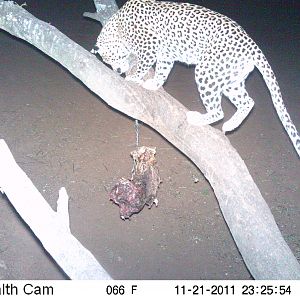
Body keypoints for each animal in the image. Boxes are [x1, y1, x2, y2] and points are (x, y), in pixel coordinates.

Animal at [91, 0, 300, 157]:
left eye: (111, 59)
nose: (117, 70)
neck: (118, 25)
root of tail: (252, 45)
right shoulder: (166, 55)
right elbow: (162, 71)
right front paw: (154, 83)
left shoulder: (149, 46)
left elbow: (144, 64)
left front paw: (133, 78)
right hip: (230, 80)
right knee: (248, 102)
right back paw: (231, 125)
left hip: (206, 71)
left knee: (218, 110)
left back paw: (199, 119)